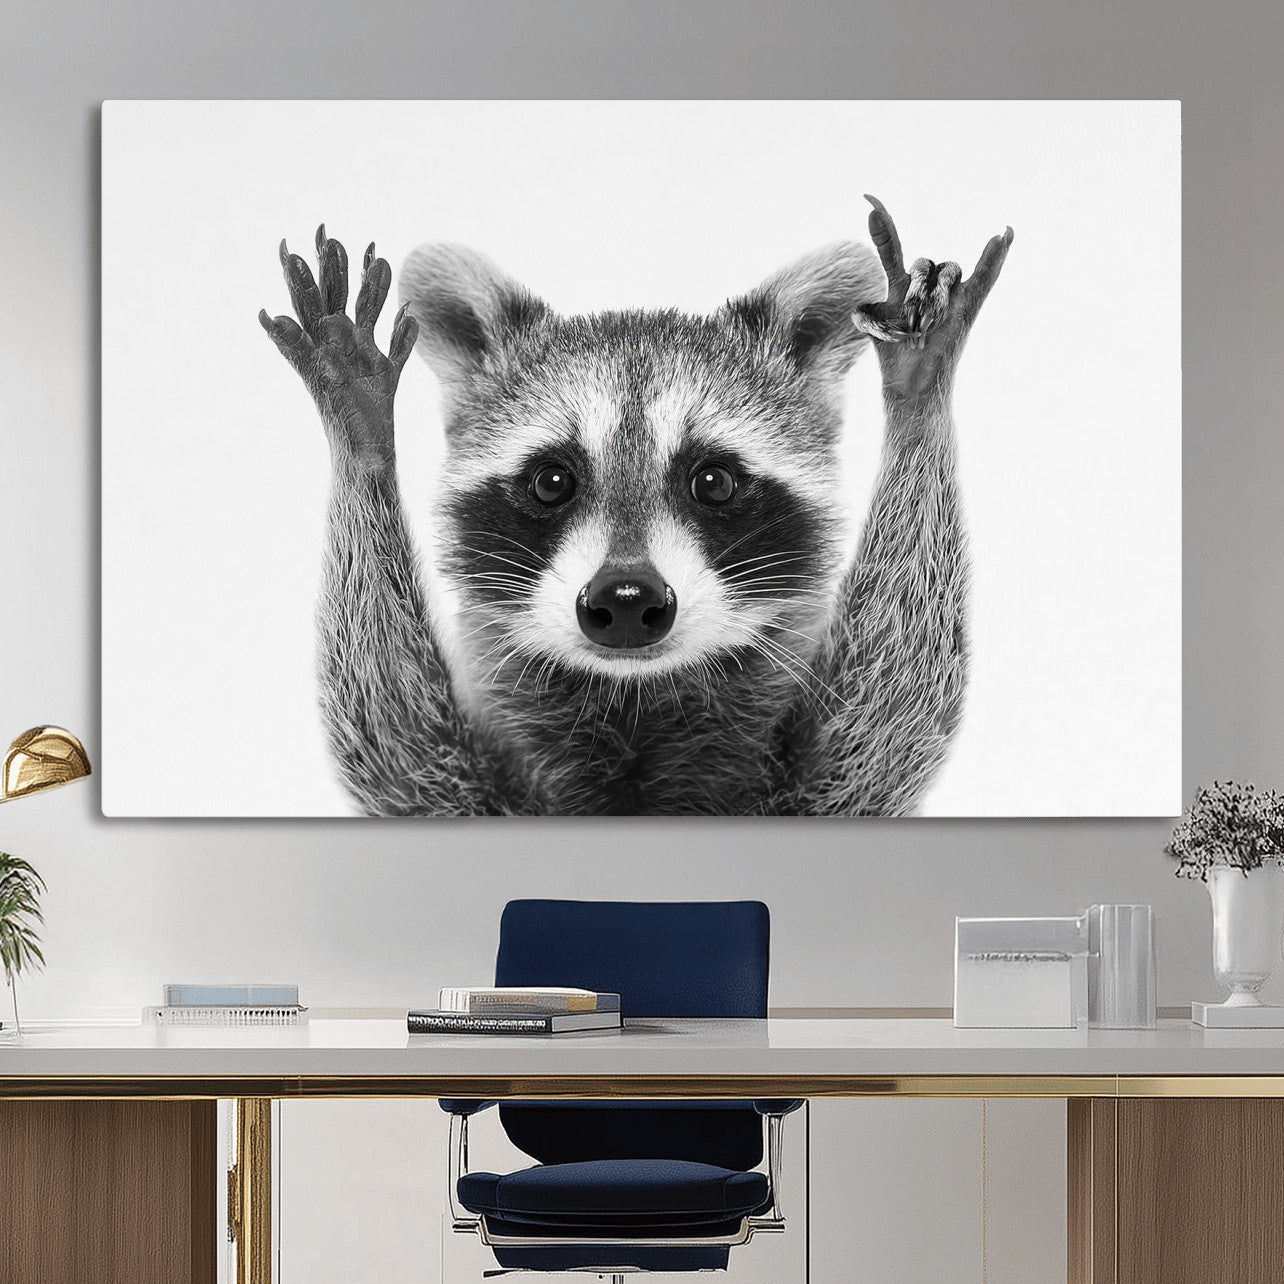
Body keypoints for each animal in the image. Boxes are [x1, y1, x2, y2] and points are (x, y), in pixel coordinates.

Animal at [260, 198, 1012, 816]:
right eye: (551, 481)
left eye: (714, 482)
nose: (625, 599)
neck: (633, 704)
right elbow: (391, 743)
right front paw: (360, 428)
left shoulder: (818, 787)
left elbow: (892, 711)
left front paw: (918, 391)